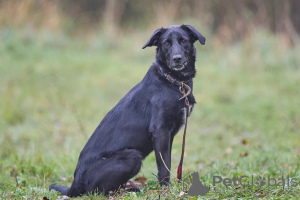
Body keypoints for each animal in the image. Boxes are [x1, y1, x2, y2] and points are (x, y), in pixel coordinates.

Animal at [50, 24, 205, 196]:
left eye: (184, 41)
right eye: (166, 43)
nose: (177, 58)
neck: (174, 81)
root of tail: (75, 184)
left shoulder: (168, 136)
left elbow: (167, 163)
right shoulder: (161, 132)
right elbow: (164, 167)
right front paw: (166, 191)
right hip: (132, 156)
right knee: (97, 191)